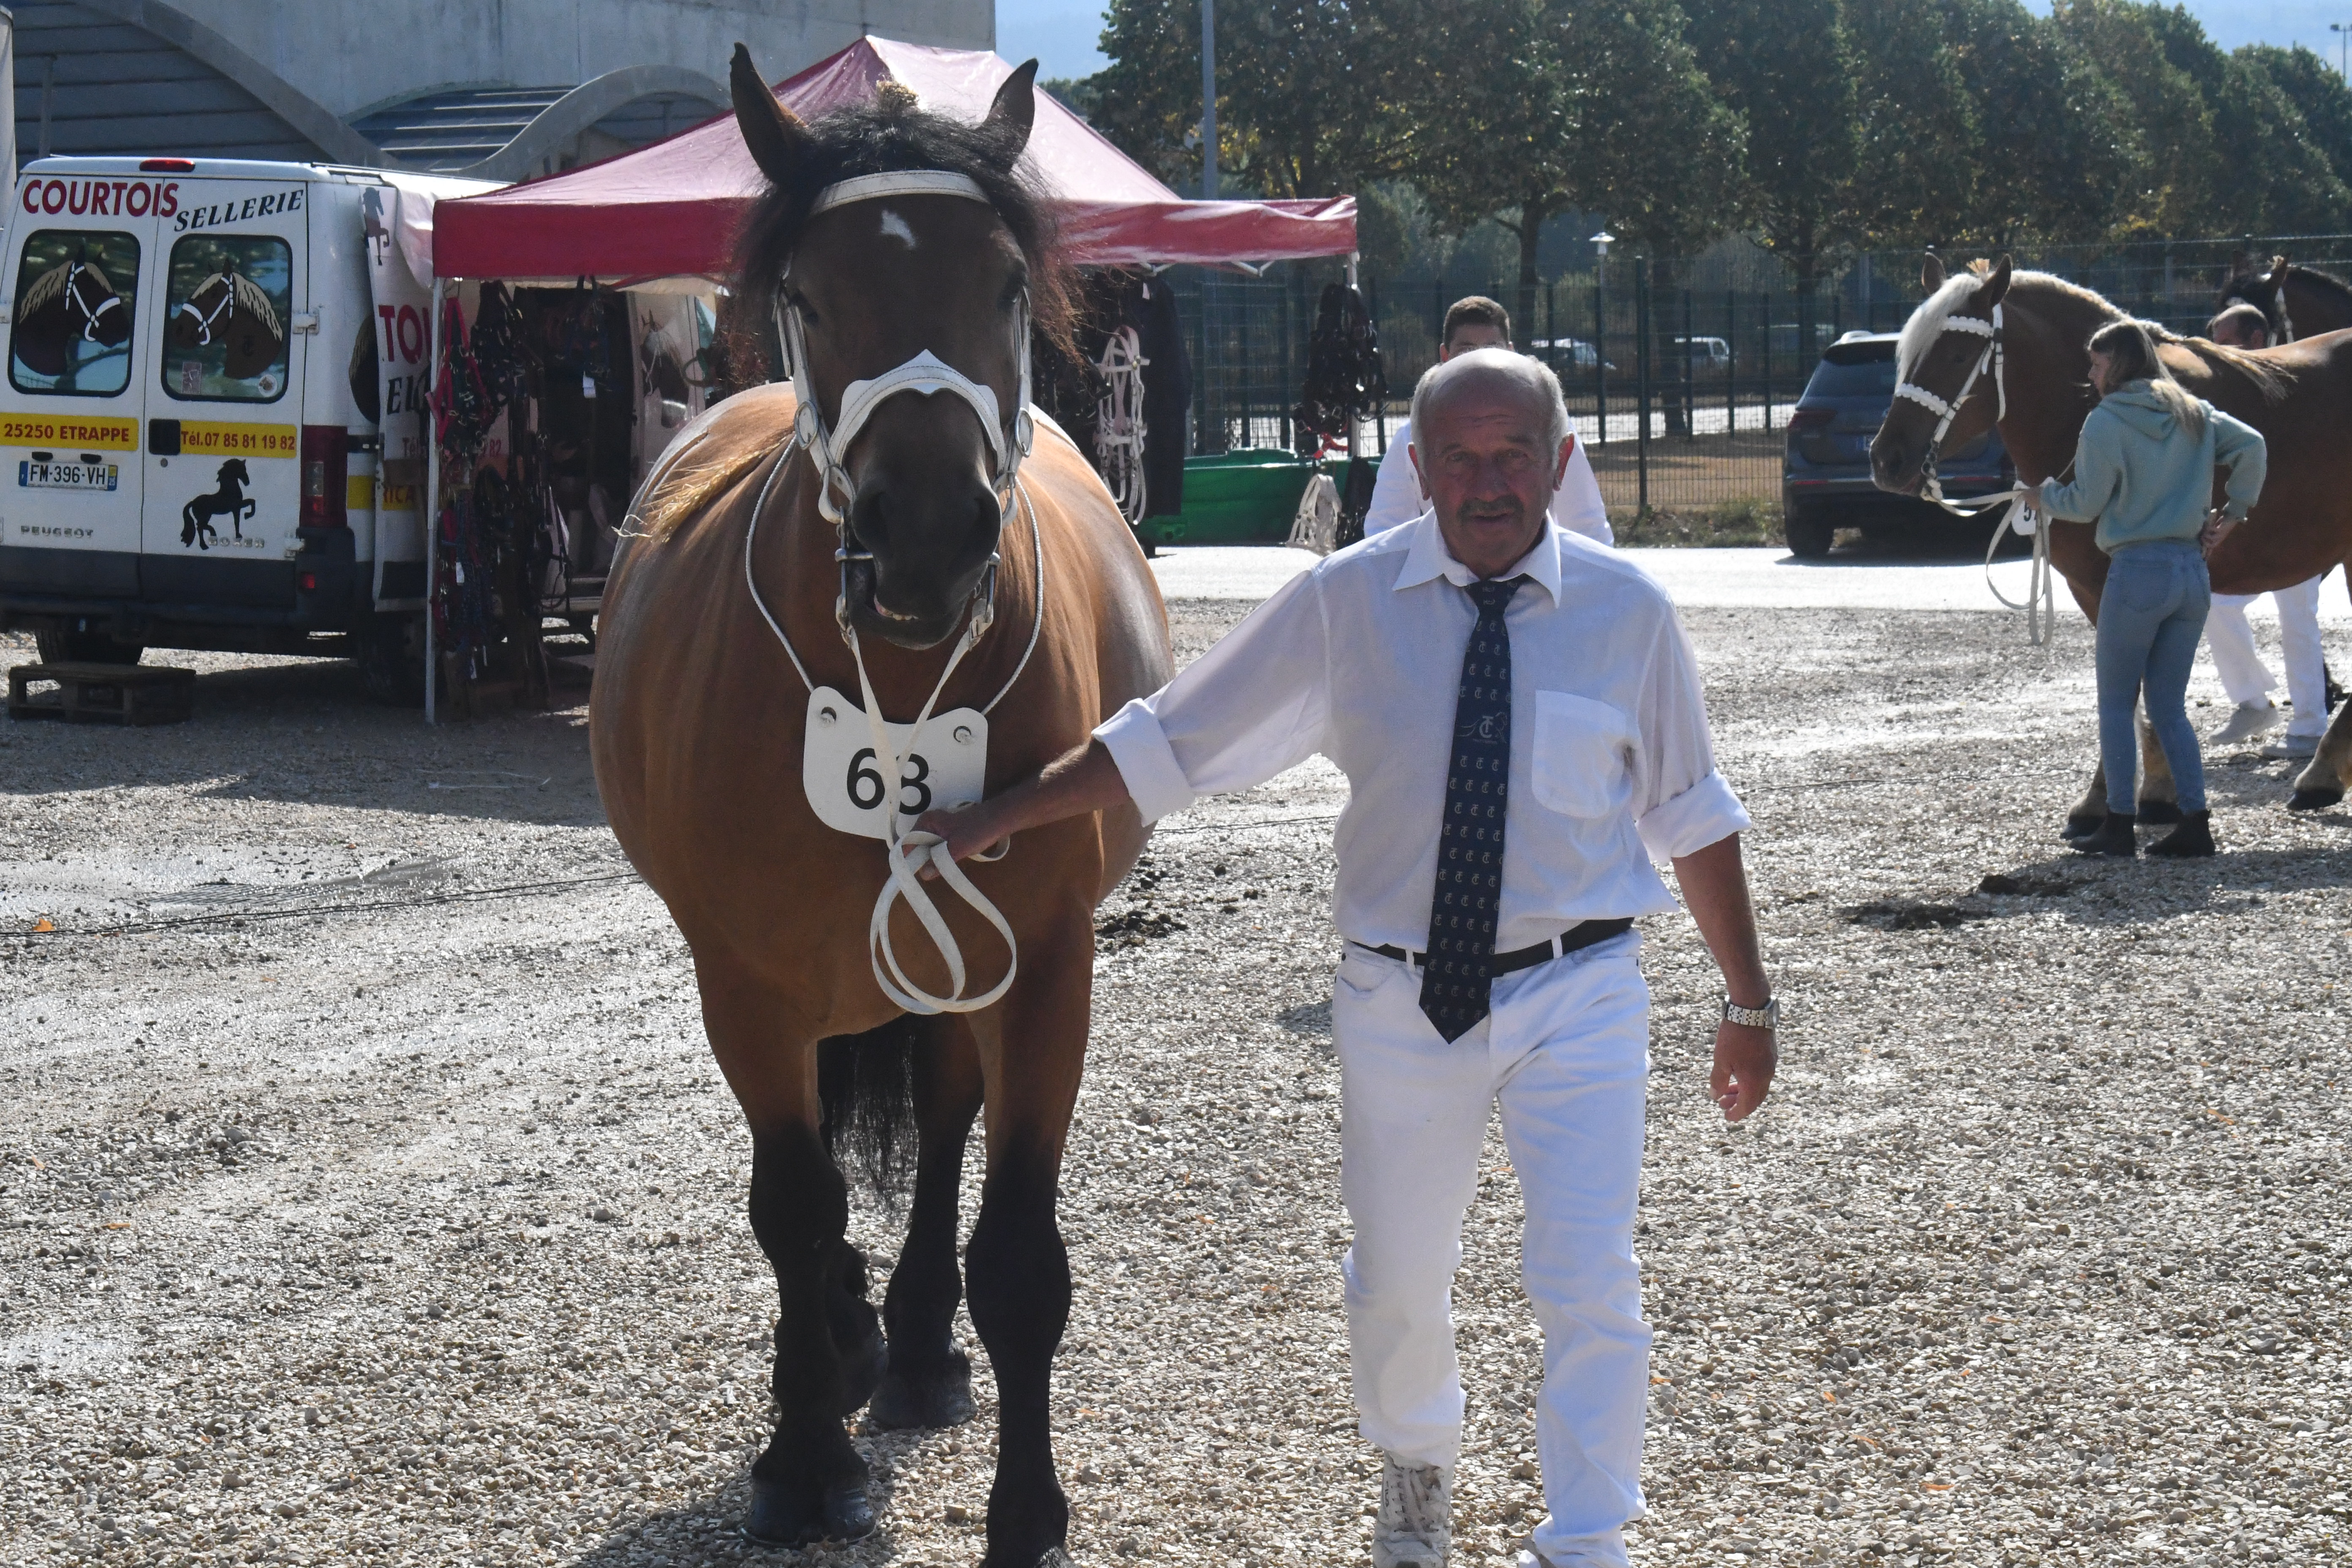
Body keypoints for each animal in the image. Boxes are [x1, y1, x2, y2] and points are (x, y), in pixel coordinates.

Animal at [181, 459, 255, 550]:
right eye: (241, 470)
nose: (247, 482)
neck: (229, 491)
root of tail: (193, 502)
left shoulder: (238, 507)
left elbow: (252, 501)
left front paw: (247, 516)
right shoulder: (236, 508)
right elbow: (237, 521)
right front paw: (239, 534)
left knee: (201, 527)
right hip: (205, 517)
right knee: (200, 527)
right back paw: (208, 541)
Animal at [590, 45, 1172, 1566]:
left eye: (1007, 284)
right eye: (808, 290)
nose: (925, 535)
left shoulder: (1044, 968)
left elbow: (1017, 1253)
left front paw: (1026, 1509)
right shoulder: (743, 979)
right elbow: (792, 1205)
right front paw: (803, 1460)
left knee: (944, 1116)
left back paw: (905, 1341)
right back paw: (851, 1343)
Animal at [1870, 255, 2352, 816]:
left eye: (1956, 354)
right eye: (1906, 353)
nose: (1886, 458)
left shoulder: (2123, 583)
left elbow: (2125, 684)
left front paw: (2111, 797)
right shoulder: (2095, 591)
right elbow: (2123, 685)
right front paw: (2148, 788)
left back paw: (2319, 772)